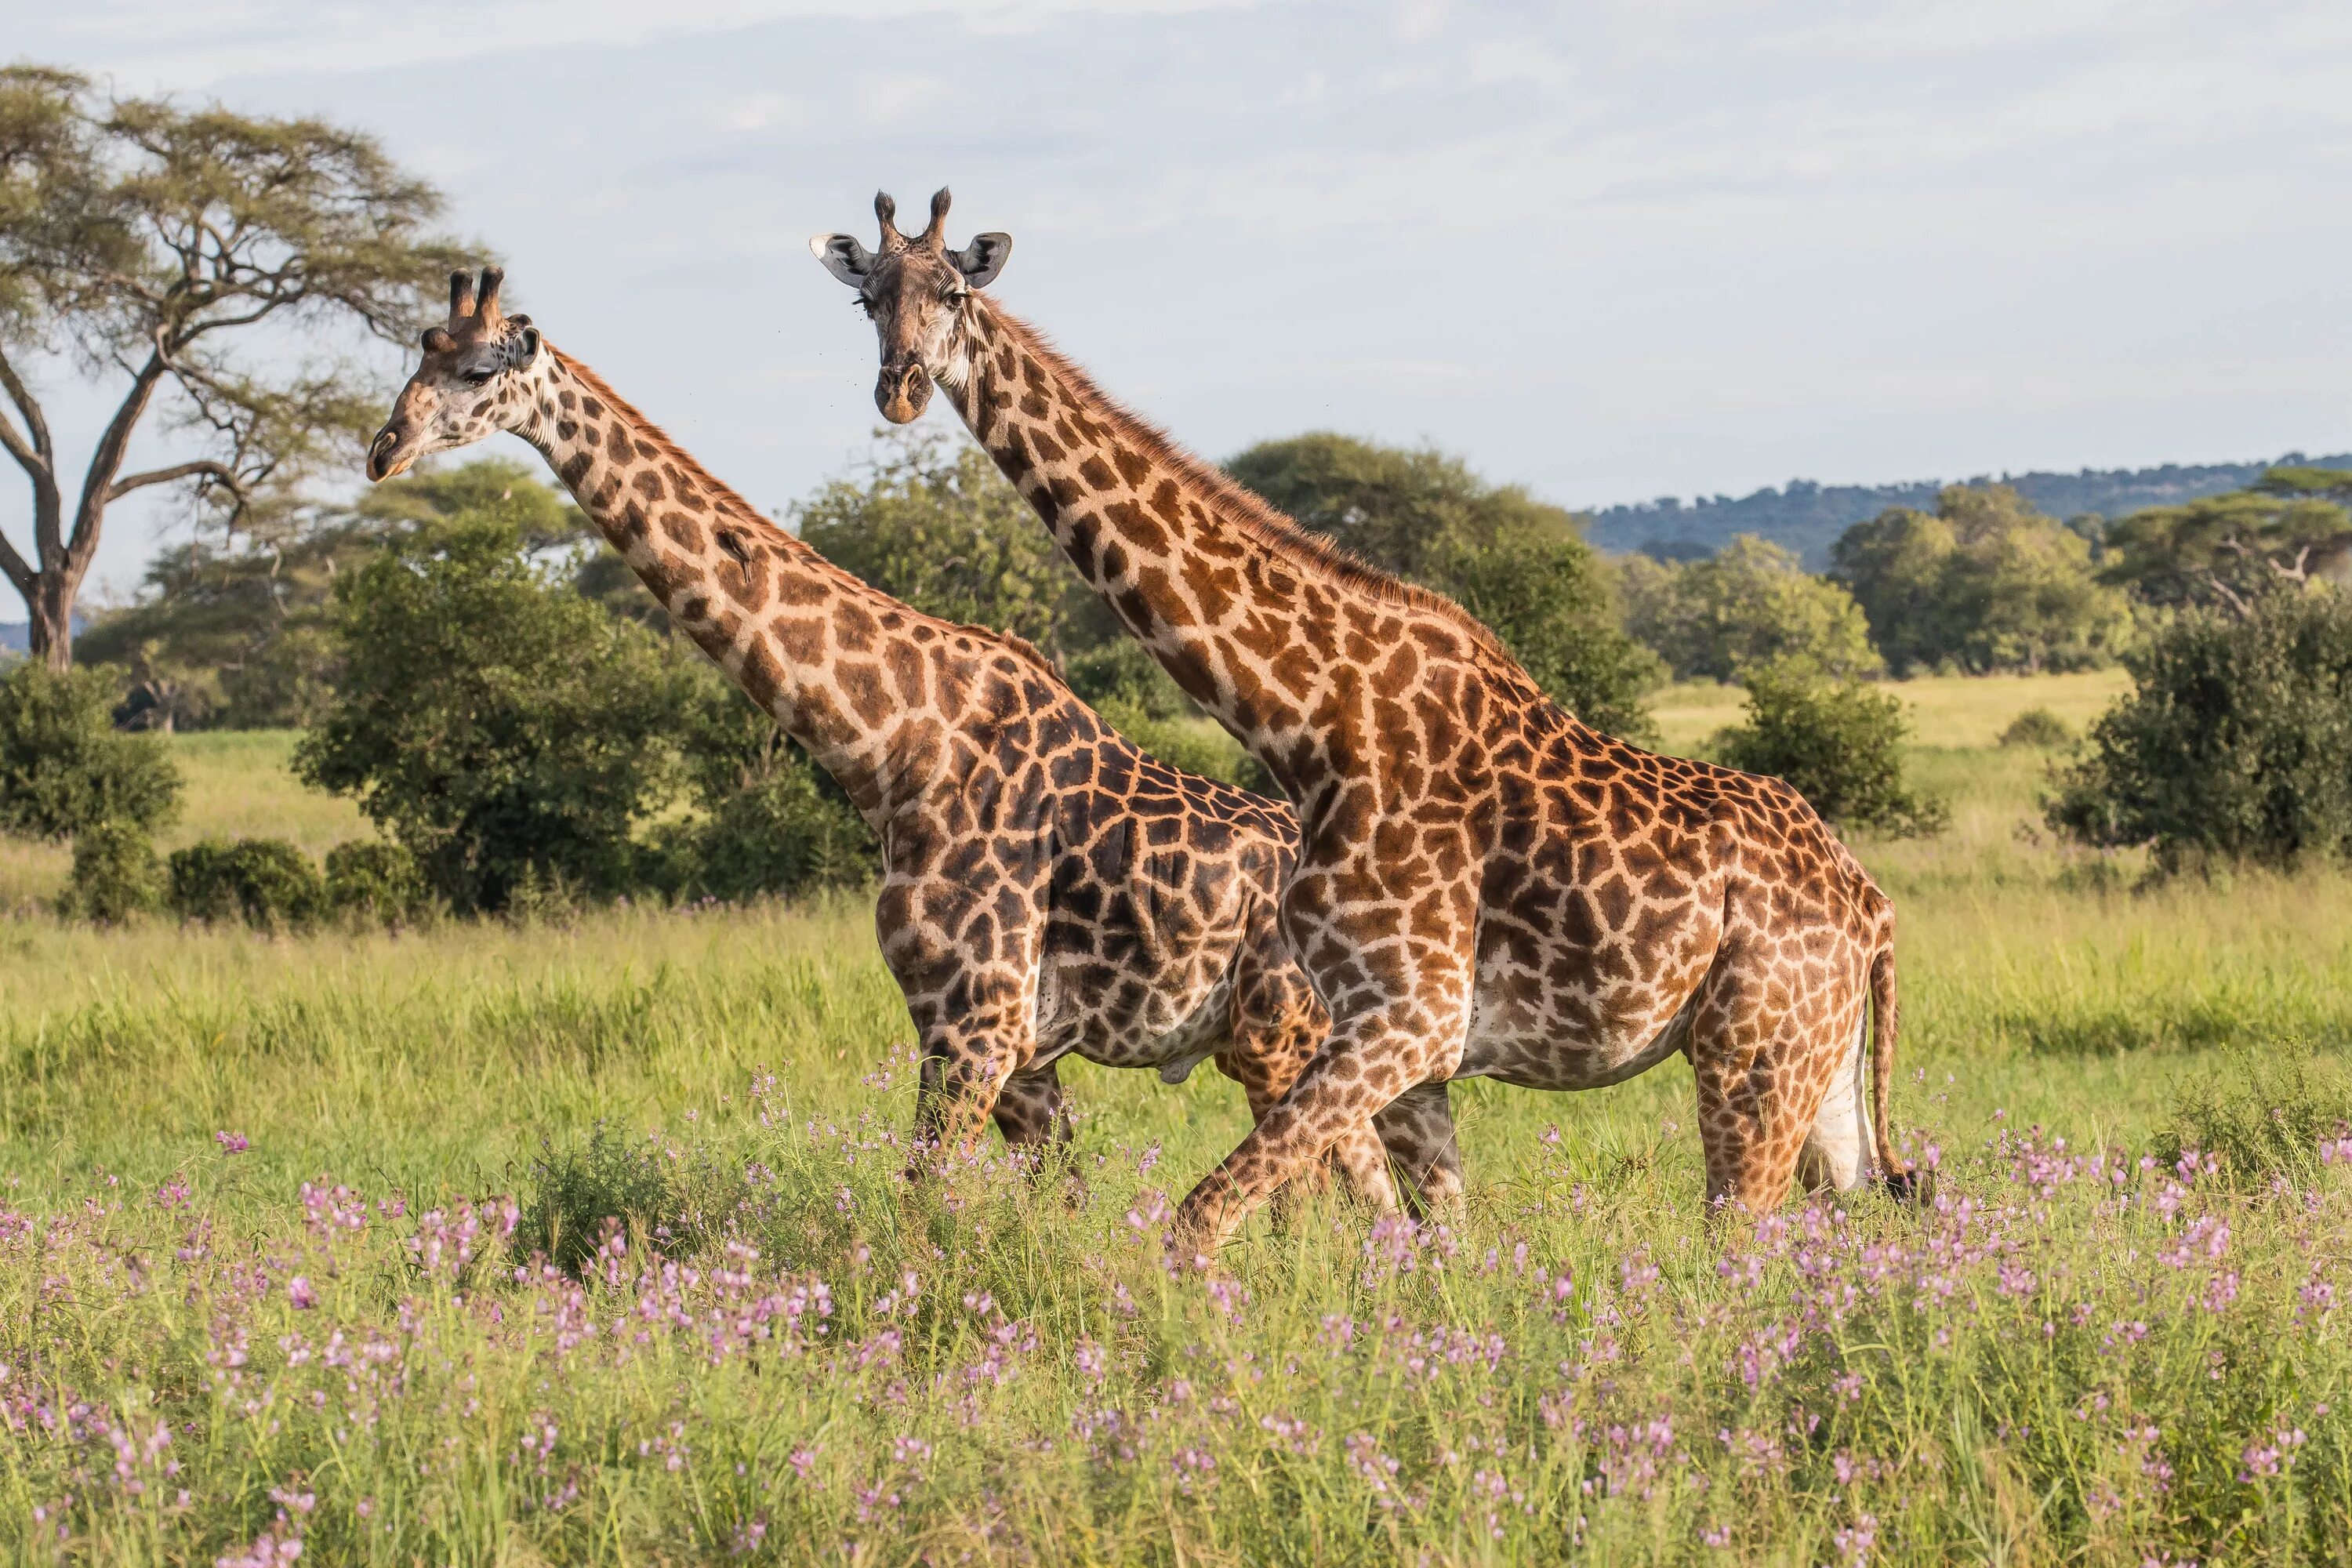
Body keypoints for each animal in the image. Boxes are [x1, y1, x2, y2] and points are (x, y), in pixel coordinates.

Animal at [369, 267, 1402, 1203]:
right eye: (420, 350)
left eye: (478, 370)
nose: (384, 448)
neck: (890, 744)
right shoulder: (1010, 1050)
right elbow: (1050, 1210)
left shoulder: (975, 1025)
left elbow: (921, 1211)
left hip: (1281, 1038)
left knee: (1366, 1195)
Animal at [809, 192, 1910, 1250]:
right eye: (869, 302)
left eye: (955, 291)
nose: (901, 387)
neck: (1310, 719)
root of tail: (1870, 903)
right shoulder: (1395, 1038)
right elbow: (1432, 1236)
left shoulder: (1411, 1018)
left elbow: (1201, 1218)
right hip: (1819, 1071)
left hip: (1753, 1057)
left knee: (1744, 1241)